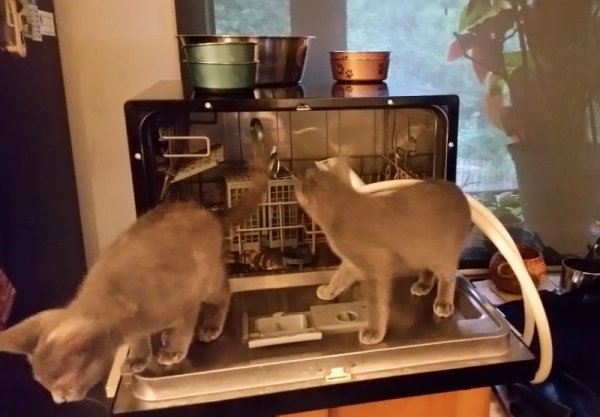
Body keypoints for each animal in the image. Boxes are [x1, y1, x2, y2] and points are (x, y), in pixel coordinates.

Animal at [0, 145, 268, 402]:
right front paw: (138, 357)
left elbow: (182, 328)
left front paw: (173, 351)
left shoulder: (184, 300)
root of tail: (209, 213)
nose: (59, 401)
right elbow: (138, 339)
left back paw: (210, 326)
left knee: (223, 292)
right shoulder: (135, 325)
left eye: (63, 385)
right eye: (45, 387)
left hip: (208, 279)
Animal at [296, 159, 474, 344]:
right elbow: (339, 277)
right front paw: (328, 291)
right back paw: (423, 285)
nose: (298, 176)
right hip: (425, 251)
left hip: (443, 254)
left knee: (449, 278)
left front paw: (374, 332)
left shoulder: (376, 269)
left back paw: (443, 303)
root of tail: (459, 191)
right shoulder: (352, 263)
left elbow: (376, 305)